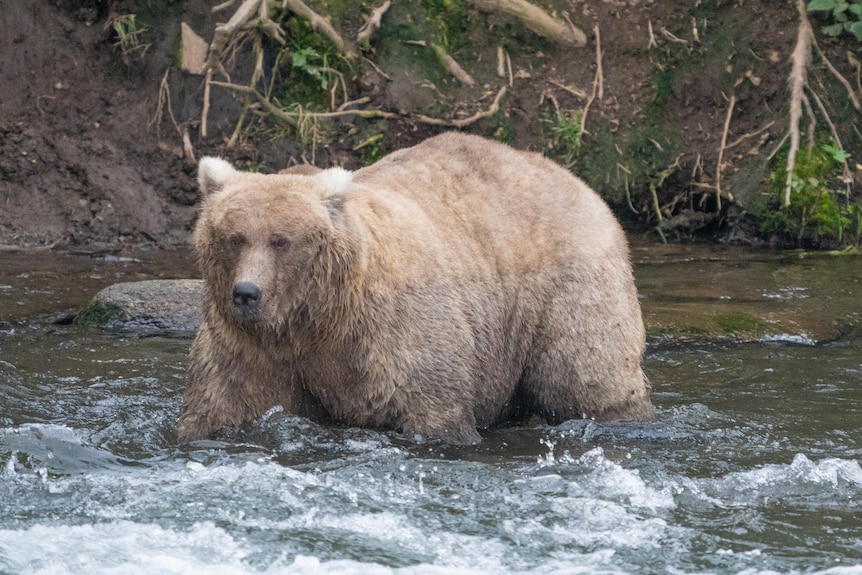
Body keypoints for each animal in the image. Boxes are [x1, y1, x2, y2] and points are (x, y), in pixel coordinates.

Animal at [179, 132, 660, 446]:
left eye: (281, 241)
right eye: (234, 237)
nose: (247, 292)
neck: (315, 320)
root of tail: (576, 181)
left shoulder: (393, 334)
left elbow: (432, 407)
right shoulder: (251, 348)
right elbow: (223, 404)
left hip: (566, 292)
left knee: (589, 377)